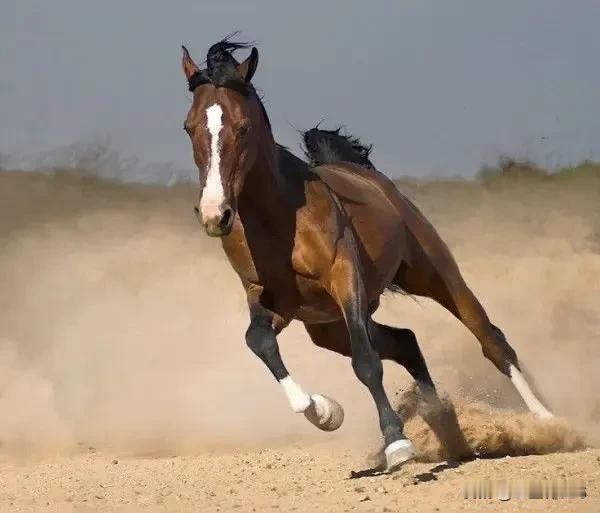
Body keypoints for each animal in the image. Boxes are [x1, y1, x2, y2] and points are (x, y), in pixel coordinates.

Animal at [180, 38, 556, 470]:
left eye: (242, 127)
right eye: (189, 127)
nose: (215, 215)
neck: (279, 220)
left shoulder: (345, 279)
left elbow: (366, 362)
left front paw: (397, 443)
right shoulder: (266, 297)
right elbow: (258, 341)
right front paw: (325, 411)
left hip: (434, 275)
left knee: (489, 338)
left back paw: (546, 421)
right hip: (326, 328)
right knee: (405, 341)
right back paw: (442, 421)